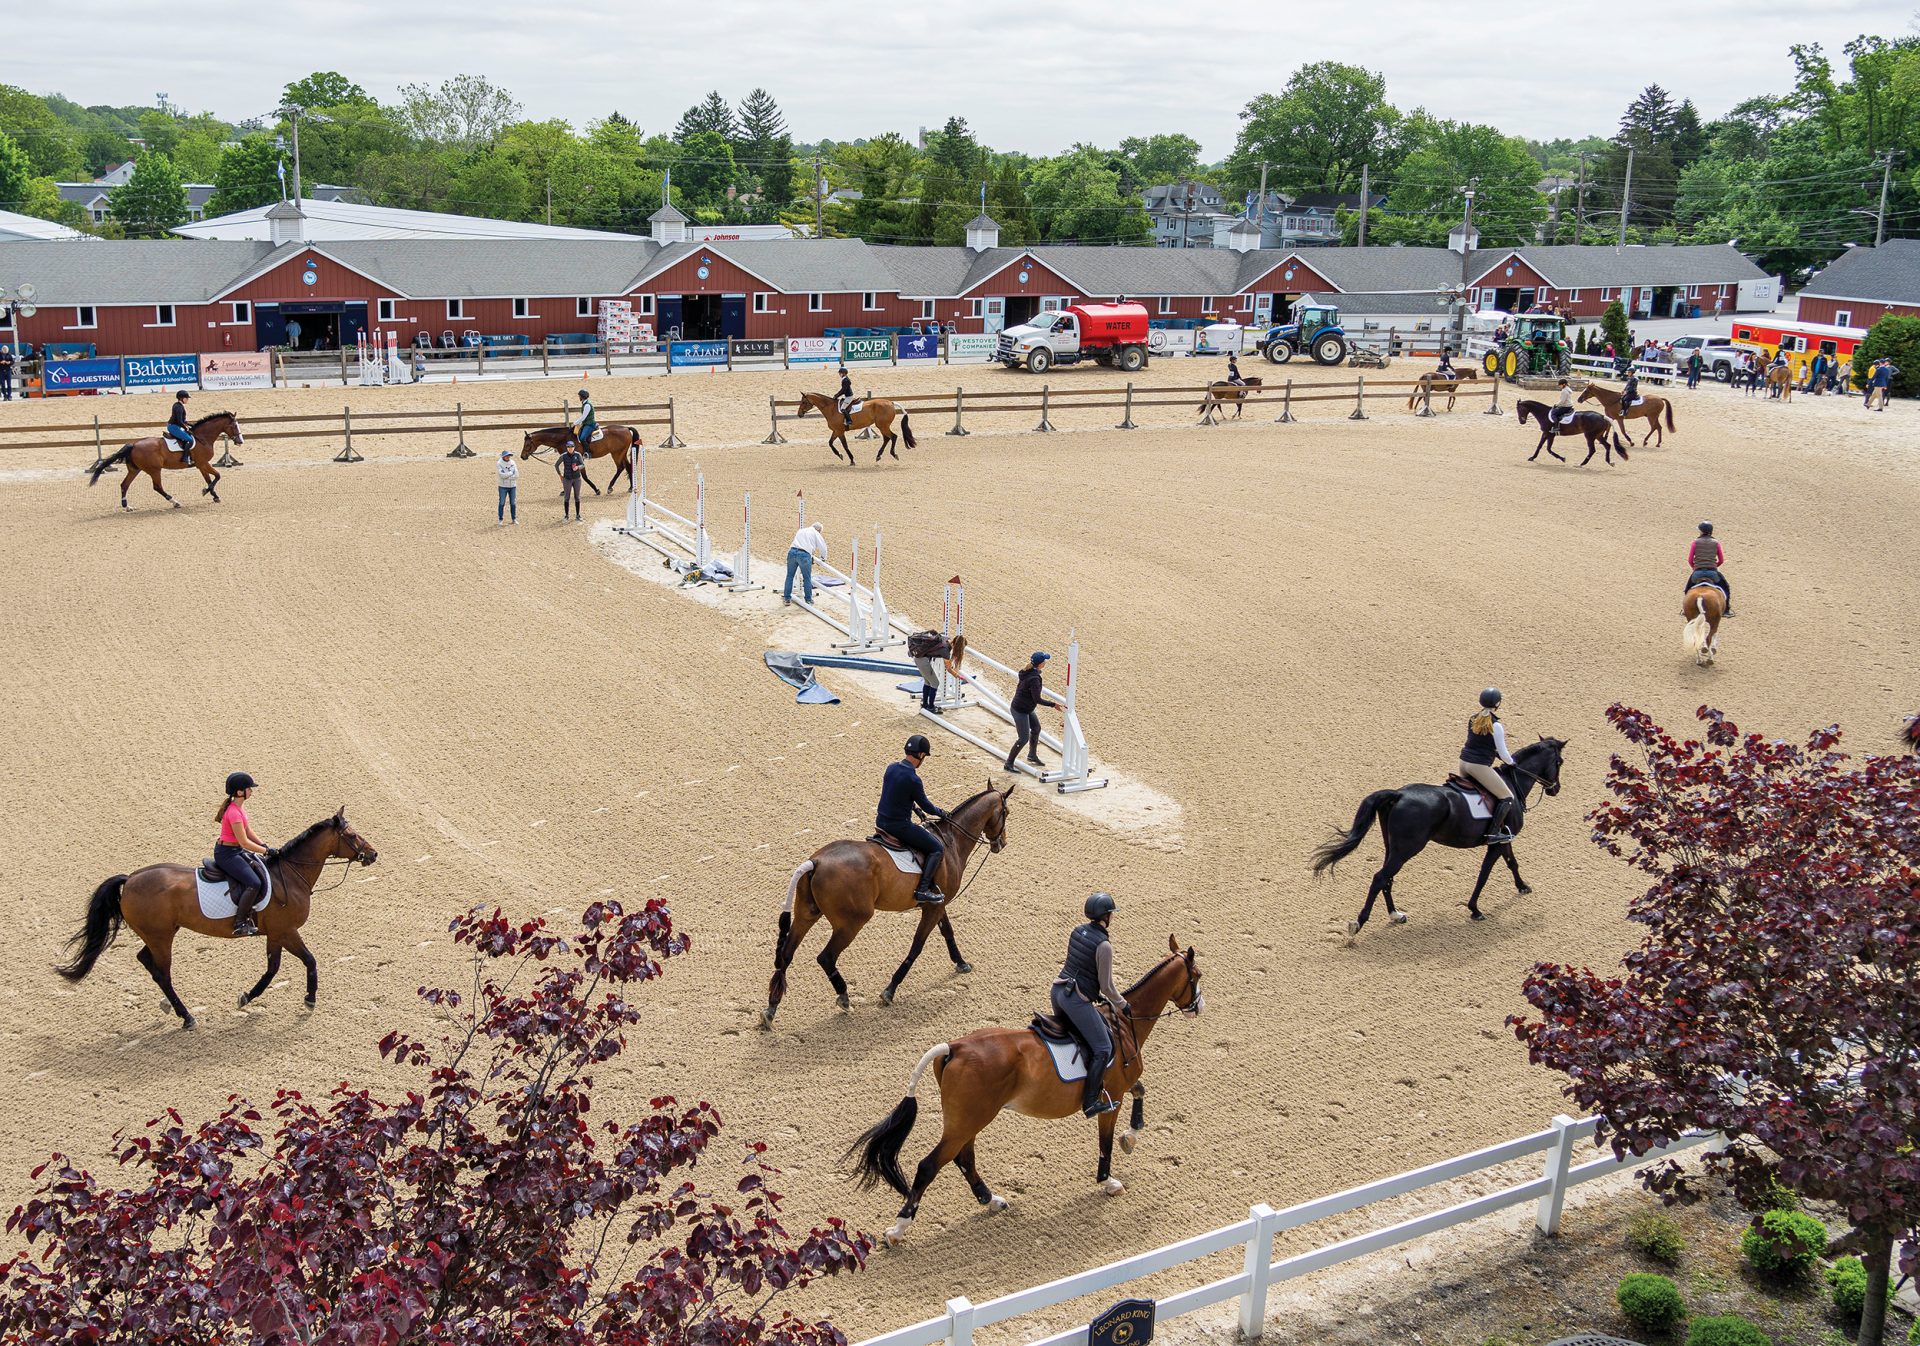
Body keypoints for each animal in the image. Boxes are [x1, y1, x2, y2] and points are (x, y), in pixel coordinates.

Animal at [56, 808, 378, 1030]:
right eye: (352, 835)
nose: (373, 854)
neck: (290, 874)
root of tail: (131, 879)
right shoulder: (285, 931)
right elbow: (305, 961)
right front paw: (308, 999)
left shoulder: (276, 934)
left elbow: (274, 968)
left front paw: (249, 996)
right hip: (161, 937)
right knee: (162, 973)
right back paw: (186, 1017)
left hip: (159, 933)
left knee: (146, 960)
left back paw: (169, 1007)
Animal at [86, 411, 244, 509]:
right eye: (234, 426)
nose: (240, 441)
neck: (202, 438)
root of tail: (134, 445)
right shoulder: (203, 463)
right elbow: (217, 476)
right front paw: (206, 491)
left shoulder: (200, 465)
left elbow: (209, 479)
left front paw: (214, 495)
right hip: (155, 470)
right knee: (157, 487)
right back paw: (175, 502)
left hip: (135, 469)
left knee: (124, 485)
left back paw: (127, 507)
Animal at [762, 785, 1013, 1027]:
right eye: (1006, 812)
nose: (1001, 843)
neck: (951, 841)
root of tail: (816, 861)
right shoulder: (933, 908)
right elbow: (917, 947)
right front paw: (890, 991)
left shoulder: (936, 904)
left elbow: (948, 932)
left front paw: (961, 963)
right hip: (851, 923)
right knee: (826, 957)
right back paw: (844, 997)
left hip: (807, 914)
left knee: (786, 954)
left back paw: (770, 1010)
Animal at [846, 936, 1202, 1244]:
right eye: (1196, 976)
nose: (1199, 1006)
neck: (1125, 1024)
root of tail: (955, 1047)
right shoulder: (1110, 1098)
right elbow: (1106, 1142)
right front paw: (1109, 1180)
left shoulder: (1120, 1088)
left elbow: (1140, 1092)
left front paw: (1131, 1136)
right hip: (969, 1120)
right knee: (930, 1166)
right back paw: (898, 1229)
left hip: (968, 1121)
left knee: (964, 1157)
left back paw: (991, 1200)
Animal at [1310, 737, 1566, 936]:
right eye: (1559, 762)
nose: (1555, 789)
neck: (1512, 785)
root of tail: (1398, 794)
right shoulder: (1498, 841)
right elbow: (1485, 874)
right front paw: (1475, 909)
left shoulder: (1504, 840)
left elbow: (1512, 863)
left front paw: (1522, 887)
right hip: (1407, 848)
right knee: (1380, 877)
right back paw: (1359, 923)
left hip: (1393, 847)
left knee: (1387, 878)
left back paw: (1396, 915)